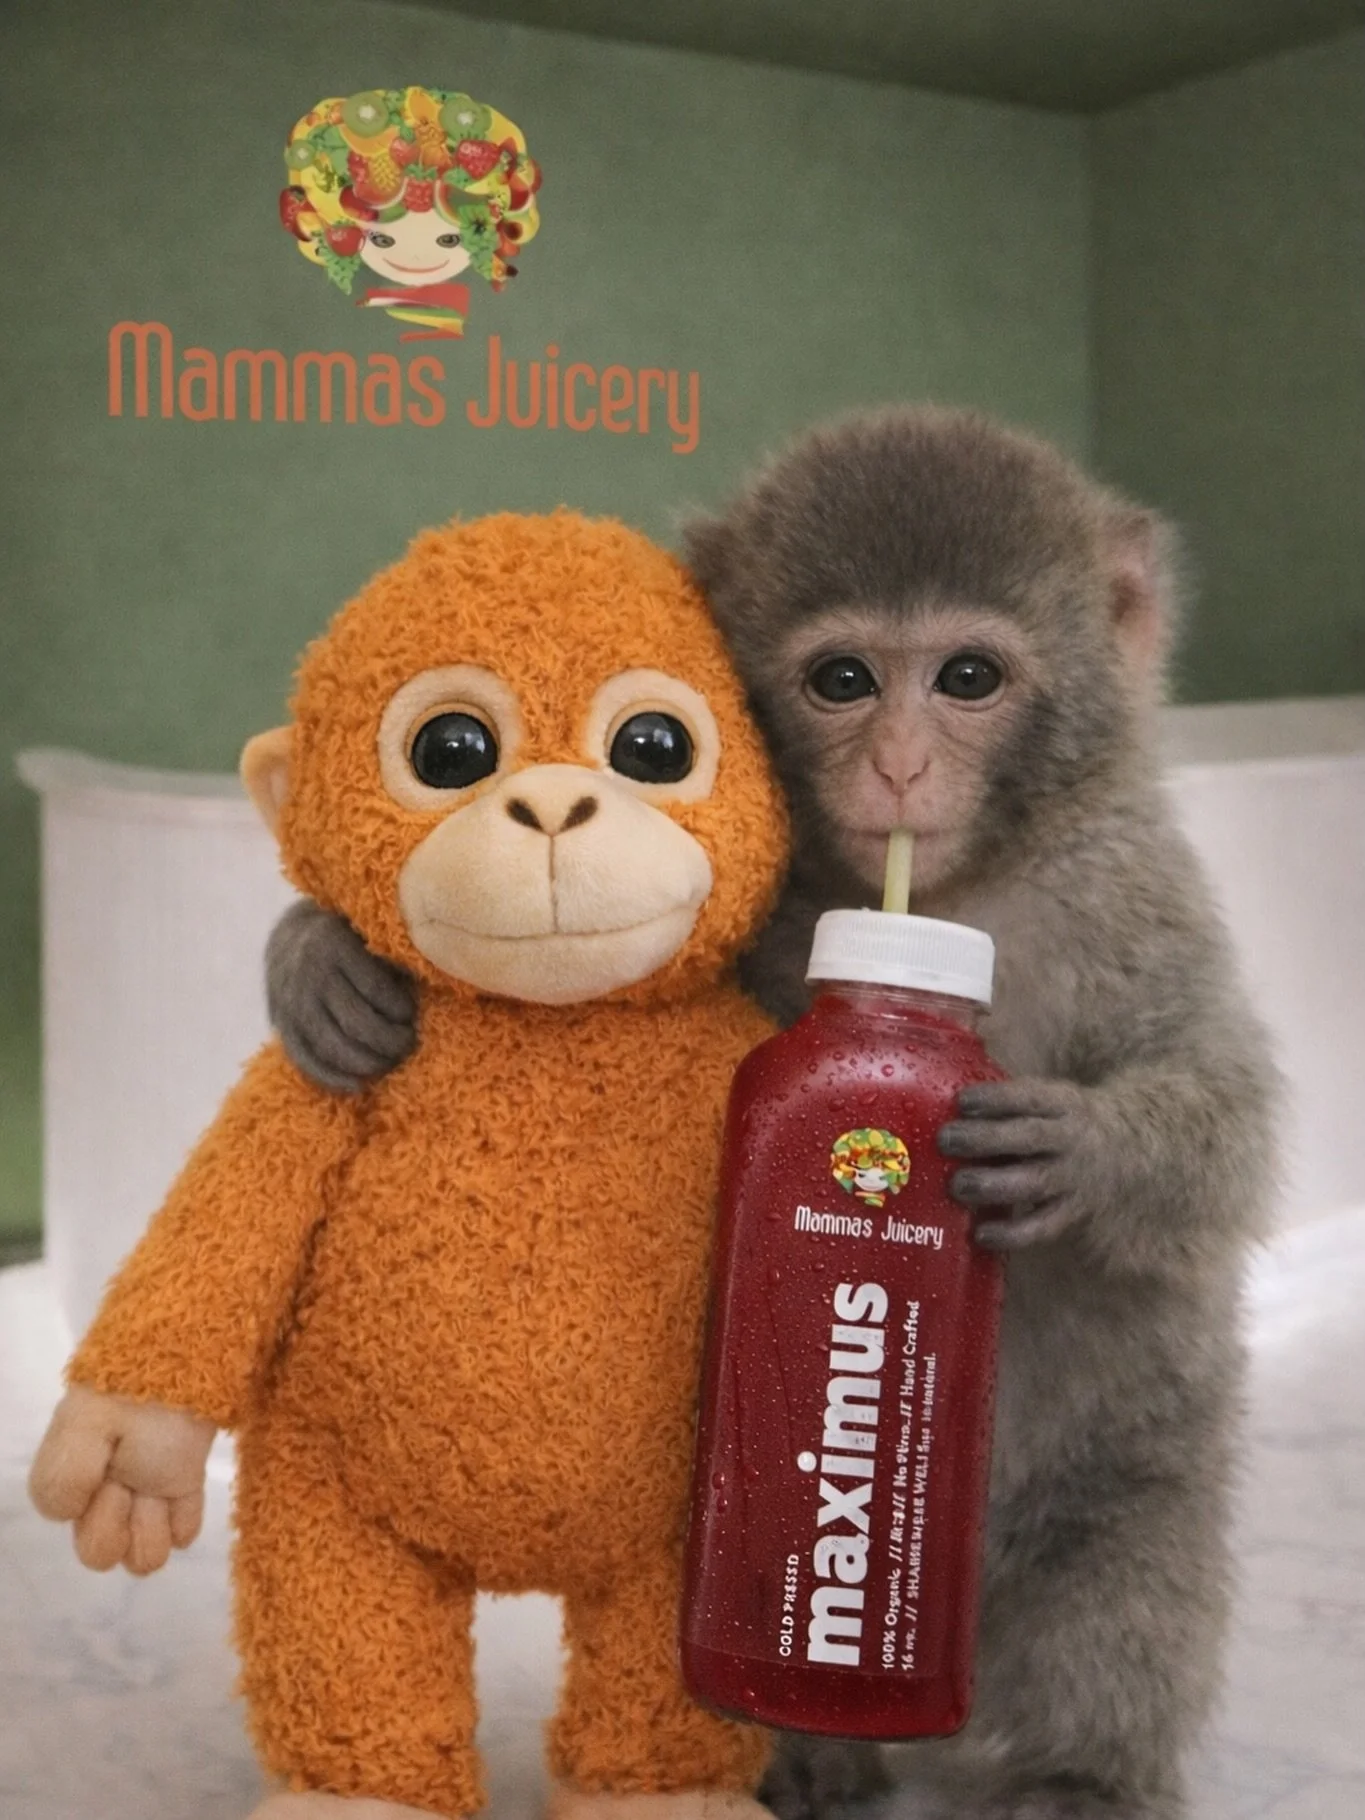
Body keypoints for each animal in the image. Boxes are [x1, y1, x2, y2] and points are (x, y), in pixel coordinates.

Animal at [263, 408, 1280, 1820]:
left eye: (968, 675)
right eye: (842, 679)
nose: (900, 764)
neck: (953, 895)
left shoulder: (1134, 890)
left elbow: (1226, 1124)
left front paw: (1080, 1153)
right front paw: (321, 963)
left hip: (1126, 1478)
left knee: (1130, 1567)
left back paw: (1077, 1772)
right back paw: (803, 1755)